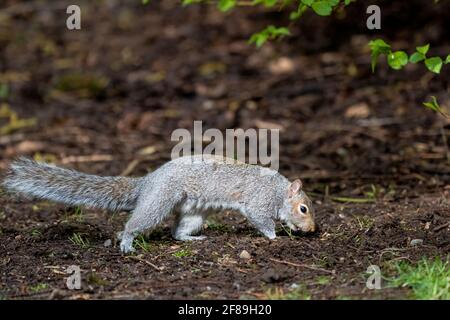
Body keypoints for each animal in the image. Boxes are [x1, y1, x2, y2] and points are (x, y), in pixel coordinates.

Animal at [1, 155, 314, 252]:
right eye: (304, 208)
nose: (312, 229)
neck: (279, 191)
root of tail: (148, 182)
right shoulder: (259, 200)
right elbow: (261, 220)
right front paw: (274, 236)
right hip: (159, 202)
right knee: (133, 225)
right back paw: (127, 242)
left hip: (193, 214)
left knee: (177, 232)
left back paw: (192, 239)